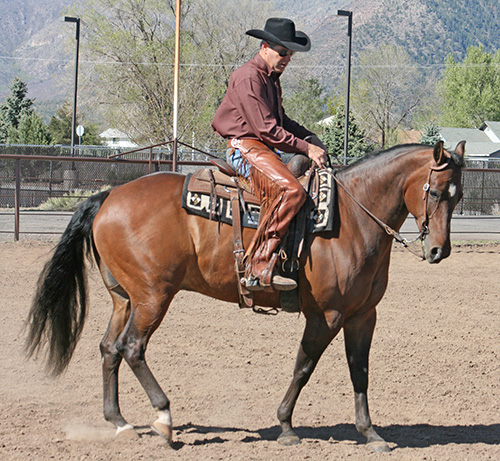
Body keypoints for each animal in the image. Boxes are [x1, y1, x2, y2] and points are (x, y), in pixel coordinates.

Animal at [26, 139, 464, 450]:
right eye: (436, 192)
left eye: (458, 196)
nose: (439, 251)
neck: (351, 219)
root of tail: (109, 197)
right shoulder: (327, 315)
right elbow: (304, 366)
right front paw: (286, 426)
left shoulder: (362, 315)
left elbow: (360, 371)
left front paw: (371, 433)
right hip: (153, 297)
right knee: (132, 348)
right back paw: (164, 420)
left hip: (125, 298)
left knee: (109, 348)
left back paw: (119, 422)